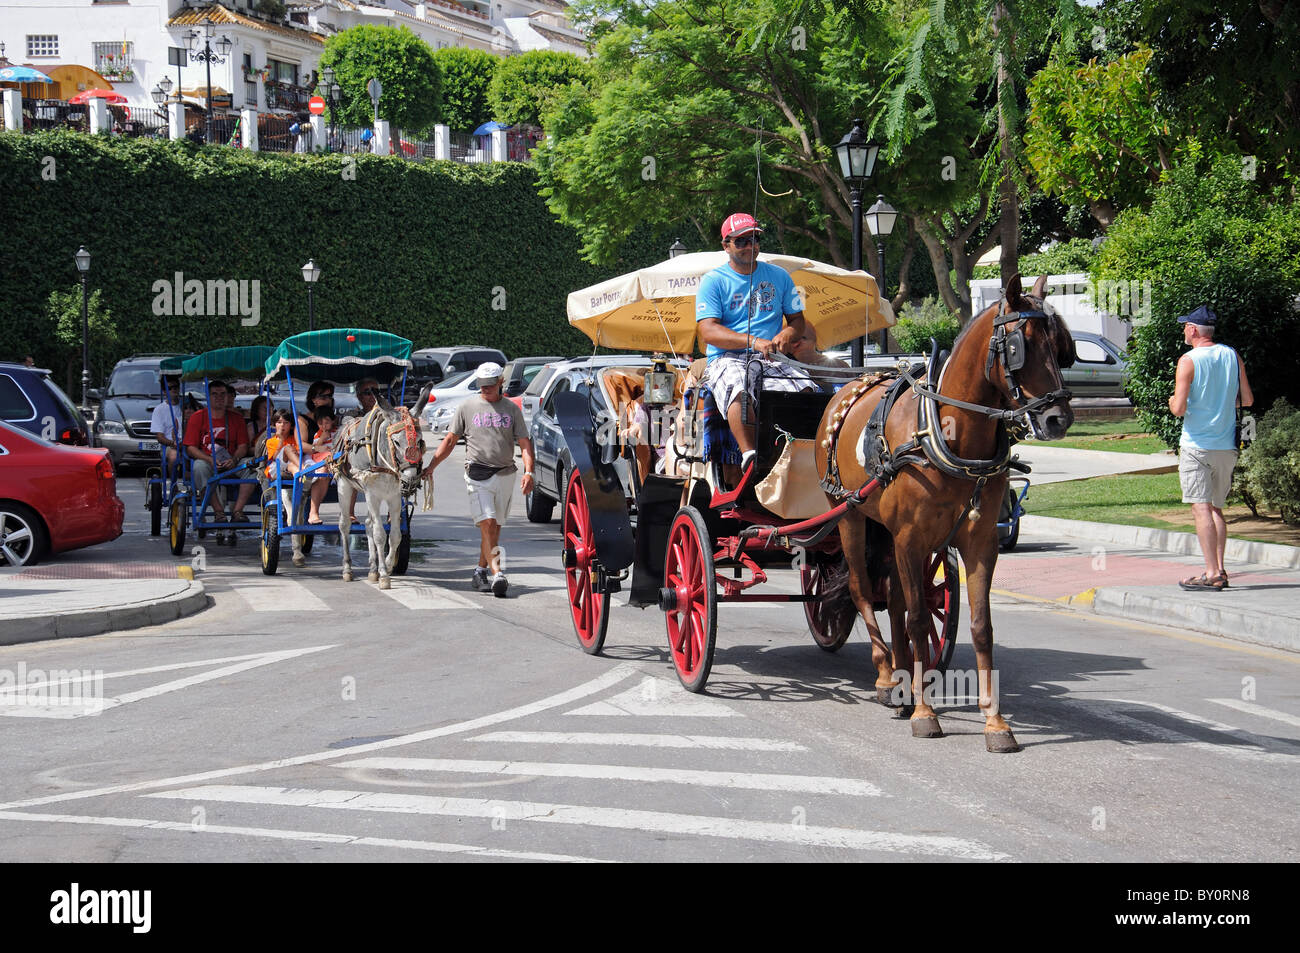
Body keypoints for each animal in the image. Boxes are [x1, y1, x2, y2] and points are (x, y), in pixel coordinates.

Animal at [811, 273, 1076, 748]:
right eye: (1019, 345)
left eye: (1062, 346)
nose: (1057, 420)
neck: (949, 435)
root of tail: (847, 389)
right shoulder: (911, 538)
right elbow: (918, 620)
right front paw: (924, 712)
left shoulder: (979, 542)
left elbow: (979, 626)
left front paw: (995, 721)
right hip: (849, 514)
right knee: (863, 589)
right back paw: (886, 677)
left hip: (887, 532)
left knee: (894, 597)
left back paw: (901, 681)